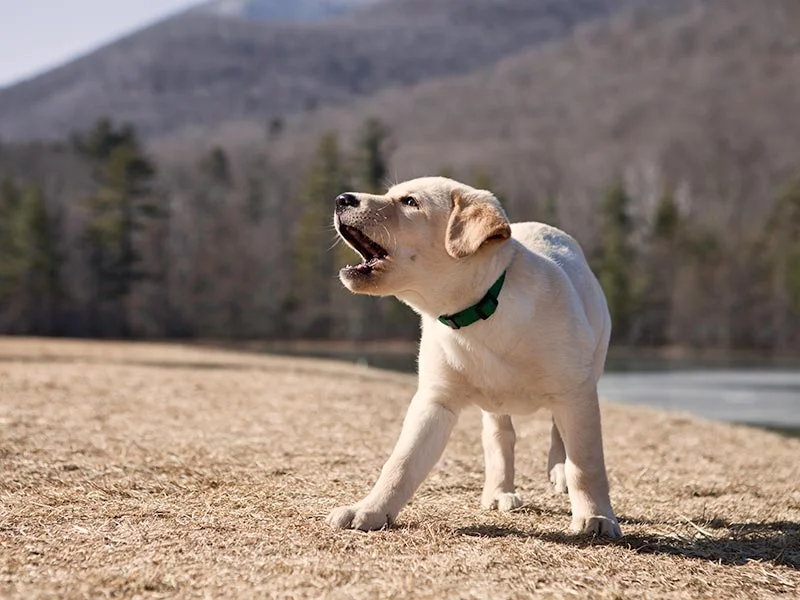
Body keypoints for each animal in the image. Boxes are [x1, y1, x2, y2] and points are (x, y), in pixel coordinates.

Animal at [328, 176, 620, 536]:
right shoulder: (435, 400)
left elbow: (586, 461)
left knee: (558, 430)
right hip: (496, 404)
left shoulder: (575, 391)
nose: (342, 199)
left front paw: (596, 517)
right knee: (500, 438)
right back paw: (499, 492)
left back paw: (558, 471)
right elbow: (401, 462)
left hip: (589, 366)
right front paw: (370, 510)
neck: (479, 311)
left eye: (410, 202)